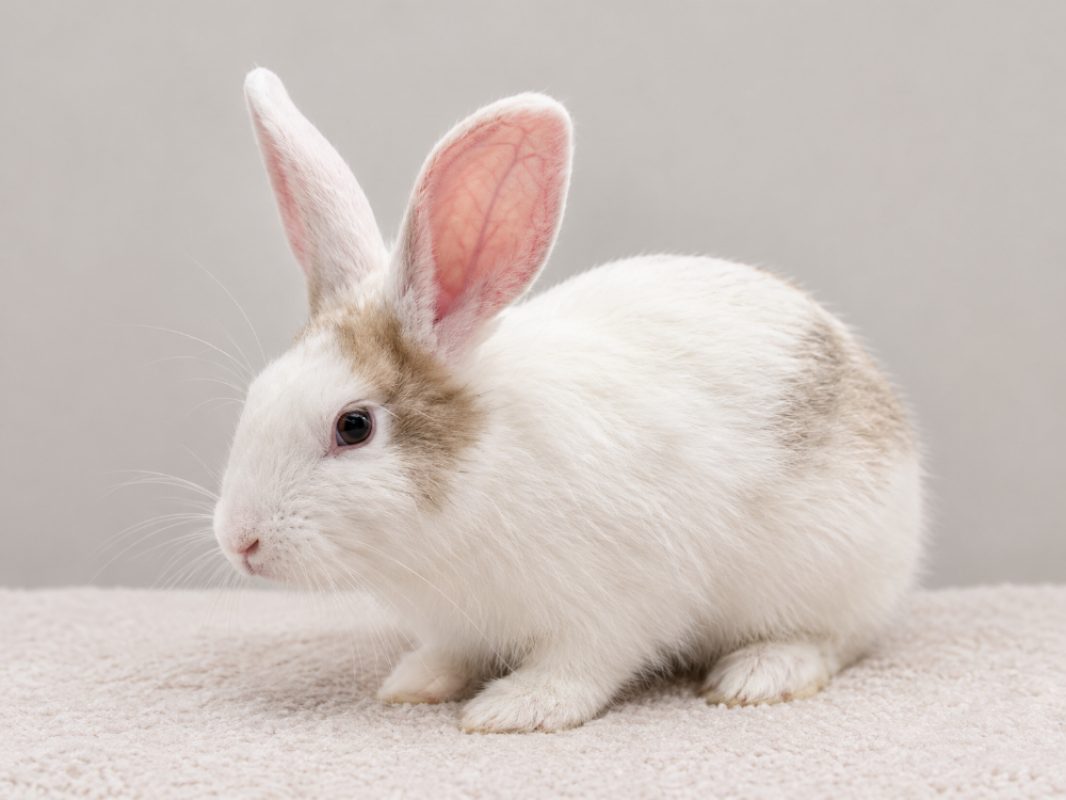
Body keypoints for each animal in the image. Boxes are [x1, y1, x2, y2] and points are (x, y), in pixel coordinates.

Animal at [213, 68, 925, 733]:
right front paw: (414, 683)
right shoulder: (459, 625)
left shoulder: (623, 600)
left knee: (833, 639)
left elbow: (584, 663)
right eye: (256, 395)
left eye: (354, 426)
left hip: (833, 570)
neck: (478, 476)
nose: (239, 540)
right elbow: (449, 653)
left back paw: (759, 674)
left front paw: (516, 709)